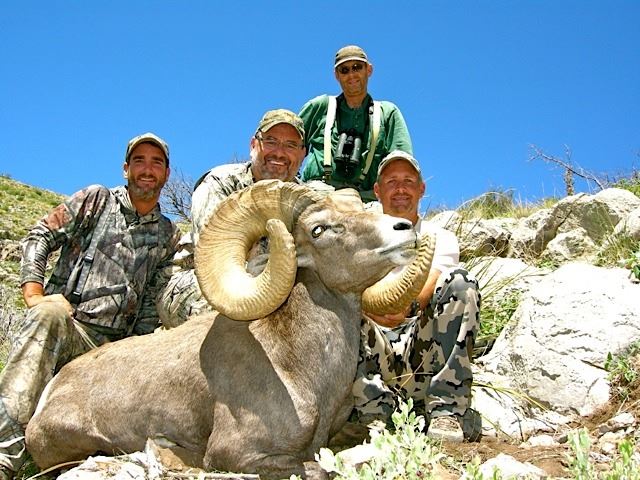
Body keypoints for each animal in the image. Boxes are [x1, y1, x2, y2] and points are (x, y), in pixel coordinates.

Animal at [25, 180, 435, 479]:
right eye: (318, 229)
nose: (404, 229)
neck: (300, 368)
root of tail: (52, 389)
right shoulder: (238, 453)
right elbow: (319, 470)